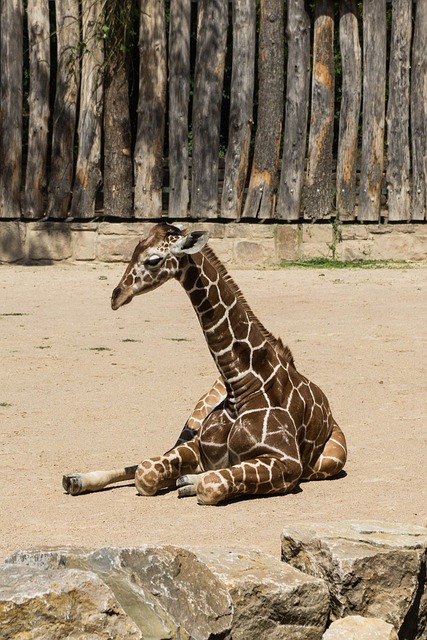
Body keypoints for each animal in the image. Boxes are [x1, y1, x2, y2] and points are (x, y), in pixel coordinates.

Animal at [63, 222, 348, 502]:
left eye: (153, 260)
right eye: (133, 251)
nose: (116, 296)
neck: (241, 385)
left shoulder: (288, 463)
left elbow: (212, 484)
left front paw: (190, 482)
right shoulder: (198, 446)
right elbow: (146, 472)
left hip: (333, 458)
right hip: (194, 418)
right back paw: (76, 479)